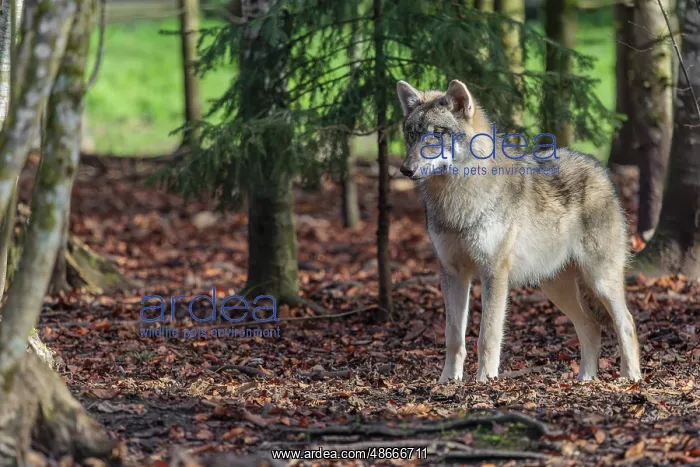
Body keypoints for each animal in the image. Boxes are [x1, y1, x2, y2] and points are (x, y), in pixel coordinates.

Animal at [396, 79, 642, 383]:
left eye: (436, 134)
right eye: (412, 134)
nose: (405, 169)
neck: (457, 198)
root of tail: (600, 169)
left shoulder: (494, 273)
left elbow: (487, 336)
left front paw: (485, 381)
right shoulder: (453, 274)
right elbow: (453, 337)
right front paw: (448, 382)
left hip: (600, 280)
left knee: (626, 323)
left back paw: (630, 378)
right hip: (555, 286)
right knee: (591, 326)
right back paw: (585, 379)